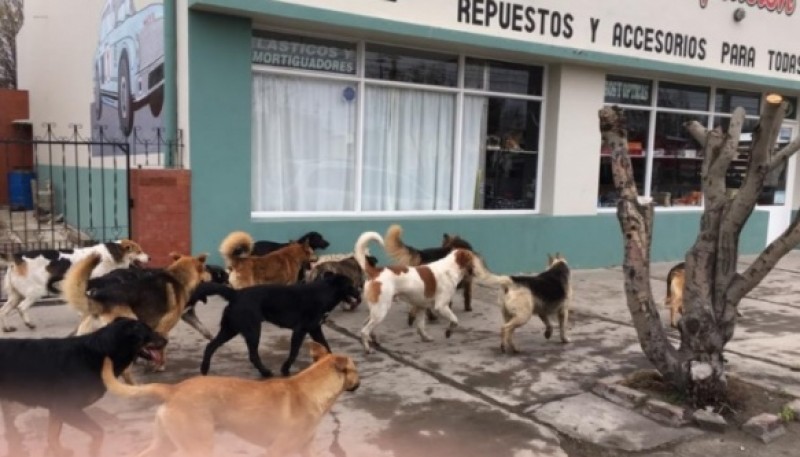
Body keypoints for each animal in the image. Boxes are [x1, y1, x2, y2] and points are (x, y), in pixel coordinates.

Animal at [0, 242, 149, 332]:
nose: (150, 258)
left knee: (3, 311)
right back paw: (29, 324)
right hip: (36, 291)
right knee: (21, 308)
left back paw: (7, 328)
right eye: (139, 251)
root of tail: (17, 257)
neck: (113, 254)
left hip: (15, 296)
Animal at [0, 318, 165, 456]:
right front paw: (93, 450)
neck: (101, 353)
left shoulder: (57, 410)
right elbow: (98, 432)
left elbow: (53, 437)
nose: (166, 340)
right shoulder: (67, 408)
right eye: (148, 332)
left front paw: (59, 451)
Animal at [103, 340, 360, 454]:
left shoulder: (305, 449)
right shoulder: (277, 450)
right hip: (198, 446)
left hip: (165, 444)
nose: (359, 382)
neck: (311, 389)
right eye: (356, 369)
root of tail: (173, 389)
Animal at [200, 272, 360, 376]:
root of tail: (236, 294)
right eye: (351, 284)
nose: (359, 294)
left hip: (230, 329)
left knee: (210, 346)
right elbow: (294, 352)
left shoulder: (315, 329)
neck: (324, 292)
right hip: (252, 330)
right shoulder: (300, 330)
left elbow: (326, 346)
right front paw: (285, 369)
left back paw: (204, 369)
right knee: (253, 355)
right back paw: (265, 372)